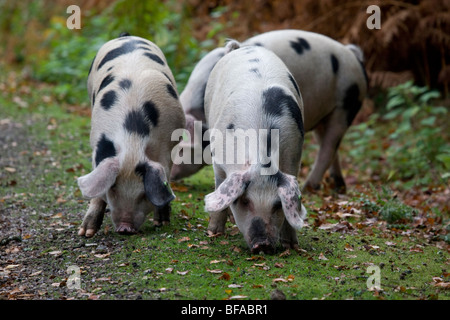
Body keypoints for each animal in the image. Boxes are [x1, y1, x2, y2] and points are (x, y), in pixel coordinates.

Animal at [77, 33, 185, 238]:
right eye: (113, 189)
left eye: (143, 194)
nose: (125, 228)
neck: (132, 141)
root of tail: (127, 36)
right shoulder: (98, 145)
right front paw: (85, 232)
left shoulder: (167, 148)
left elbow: (165, 179)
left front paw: (162, 222)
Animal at [171, 29, 368, 195]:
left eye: (181, 149)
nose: (170, 176)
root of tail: (354, 57)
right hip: (325, 114)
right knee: (330, 147)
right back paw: (338, 187)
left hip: (345, 107)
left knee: (328, 148)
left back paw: (309, 189)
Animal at [203, 41, 306, 254]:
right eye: (244, 201)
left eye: (277, 204)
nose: (262, 244)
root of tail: (242, 47)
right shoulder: (219, 161)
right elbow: (219, 187)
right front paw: (213, 233)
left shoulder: (294, 159)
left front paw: (292, 245)